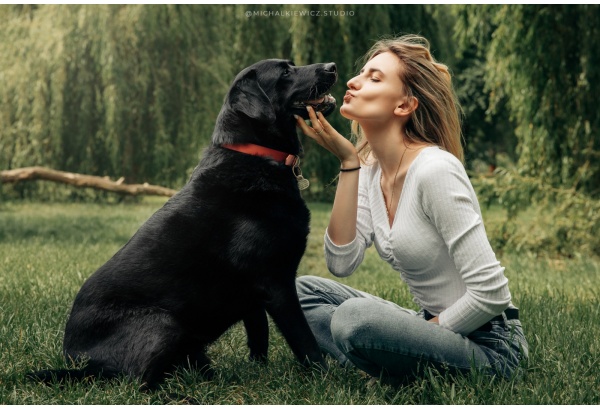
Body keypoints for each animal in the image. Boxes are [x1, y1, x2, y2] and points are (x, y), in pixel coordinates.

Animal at [29, 58, 338, 390]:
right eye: (285, 72)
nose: (332, 66)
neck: (256, 155)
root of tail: (78, 361)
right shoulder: (276, 282)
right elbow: (304, 341)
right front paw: (328, 379)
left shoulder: (253, 294)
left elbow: (259, 338)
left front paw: (259, 372)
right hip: (164, 323)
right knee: (140, 383)